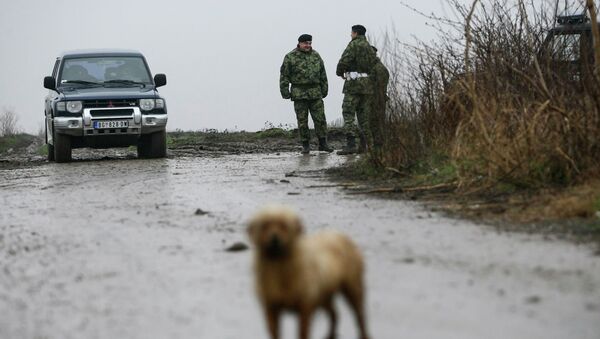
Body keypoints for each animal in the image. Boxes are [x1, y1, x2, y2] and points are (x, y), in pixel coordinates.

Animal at [247, 206, 370, 339]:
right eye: (265, 225)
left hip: (352, 287)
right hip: (324, 293)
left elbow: (302, 331)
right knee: (334, 313)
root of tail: (341, 235)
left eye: (284, 225)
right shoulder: (271, 308)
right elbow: (275, 332)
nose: (274, 239)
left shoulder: (305, 306)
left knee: (359, 316)